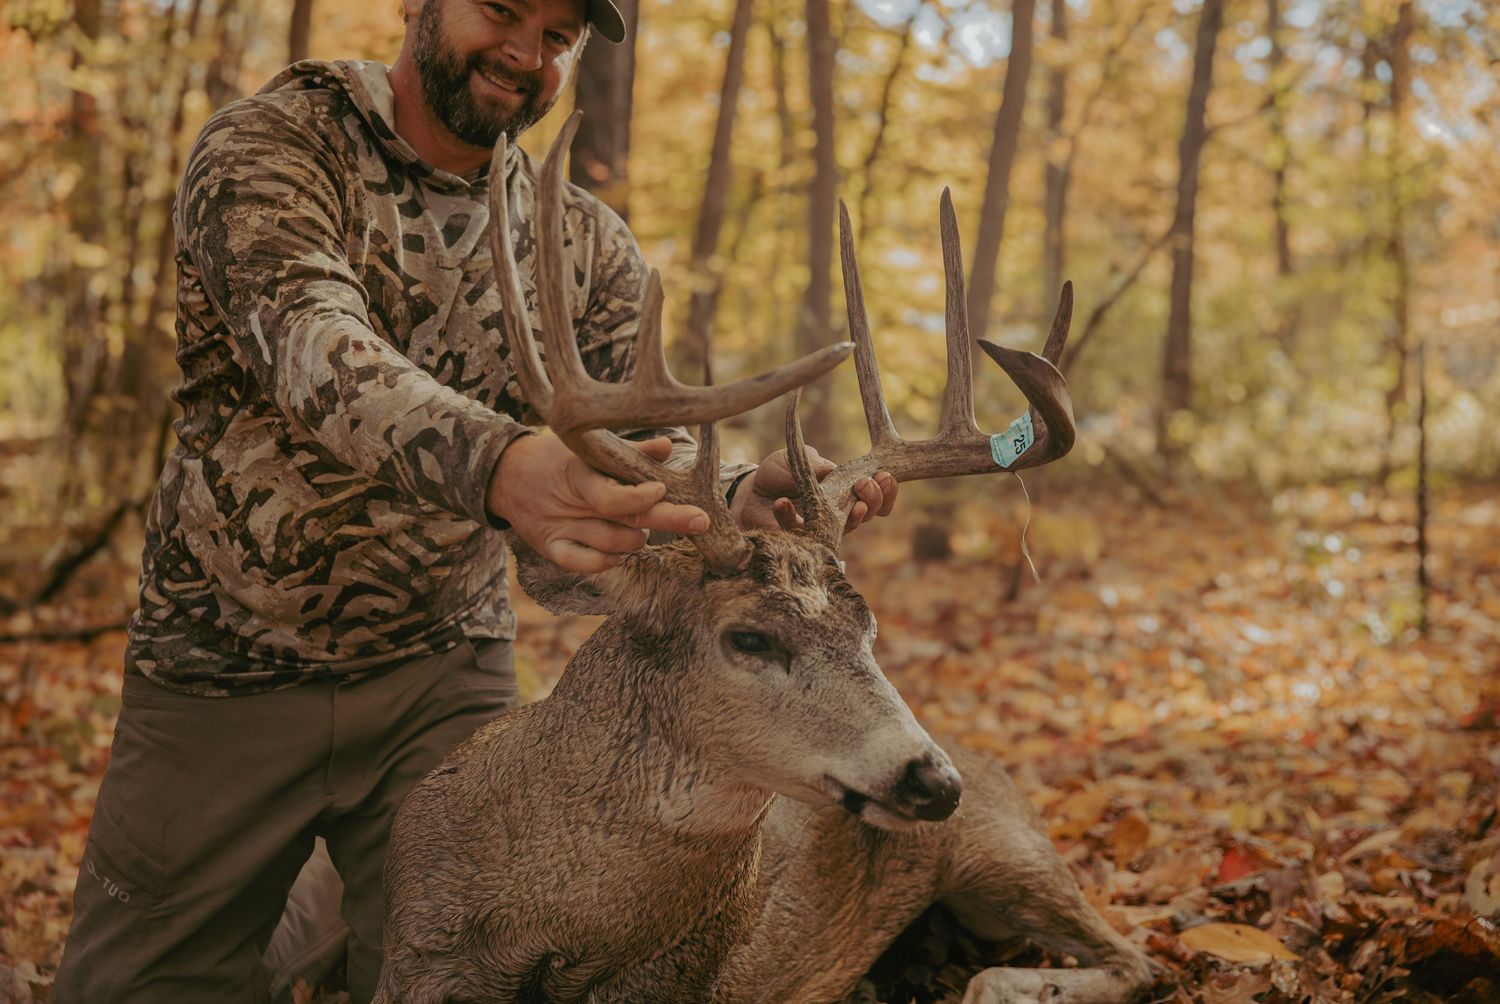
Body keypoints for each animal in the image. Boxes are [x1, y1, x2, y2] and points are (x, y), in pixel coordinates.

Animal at [375, 115, 1155, 1004]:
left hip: (1008, 849)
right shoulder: (417, 955)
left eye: (869, 631)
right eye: (749, 638)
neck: (554, 934)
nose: (933, 781)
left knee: (1135, 959)